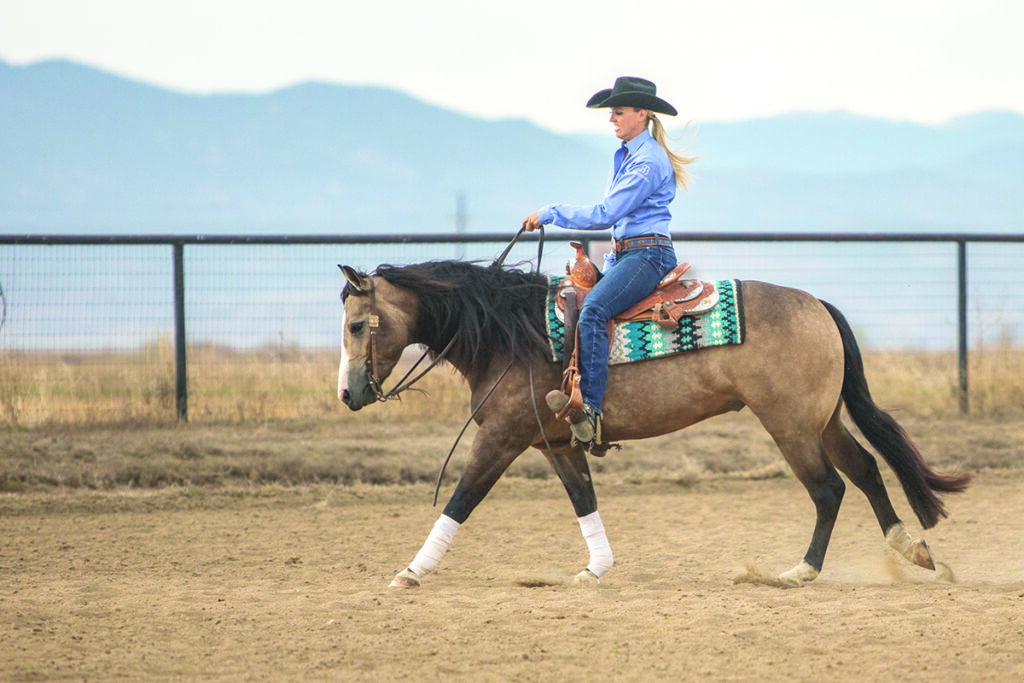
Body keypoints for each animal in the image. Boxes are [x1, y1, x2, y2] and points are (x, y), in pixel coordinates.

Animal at [335, 255, 966, 589]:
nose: (348, 394)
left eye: (358, 325)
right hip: (823, 420)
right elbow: (583, 501)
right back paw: (911, 549)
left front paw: (411, 572)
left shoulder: (501, 439)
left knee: (830, 487)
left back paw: (802, 571)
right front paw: (596, 569)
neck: (510, 333)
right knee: (865, 469)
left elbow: (460, 500)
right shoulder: (556, 444)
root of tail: (818, 305)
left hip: (790, 426)